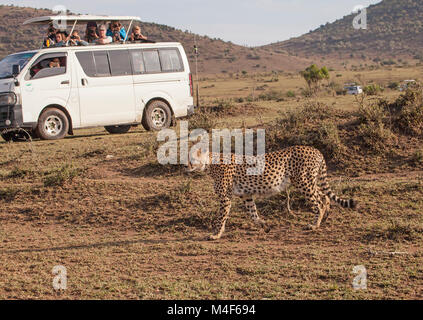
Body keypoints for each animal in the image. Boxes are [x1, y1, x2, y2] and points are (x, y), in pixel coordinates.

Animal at [187, 145, 356, 240]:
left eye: (192, 159)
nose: (185, 166)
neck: (210, 163)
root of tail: (315, 149)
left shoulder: (225, 198)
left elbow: (221, 218)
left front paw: (215, 234)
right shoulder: (246, 195)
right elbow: (253, 214)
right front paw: (265, 225)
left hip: (302, 181)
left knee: (319, 201)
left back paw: (314, 224)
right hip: (309, 181)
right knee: (324, 196)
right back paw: (324, 217)